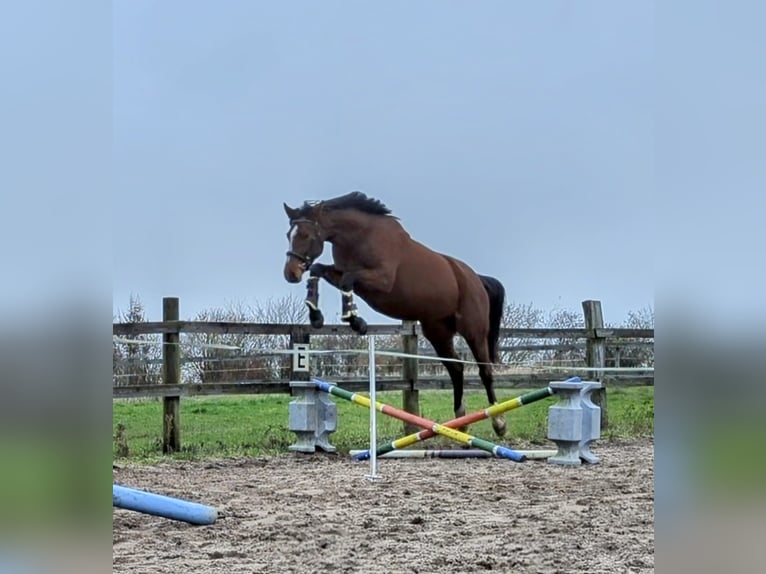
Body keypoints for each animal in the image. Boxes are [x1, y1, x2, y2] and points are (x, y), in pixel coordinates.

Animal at [282, 191, 510, 438]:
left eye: (305, 235)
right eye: (288, 235)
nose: (290, 274)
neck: (359, 236)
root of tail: (476, 278)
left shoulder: (381, 279)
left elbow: (348, 280)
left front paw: (356, 321)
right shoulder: (341, 271)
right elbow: (319, 271)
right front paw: (316, 317)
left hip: (473, 330)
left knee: (484, 371)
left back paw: (499, 422)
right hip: (438, 332)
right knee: (456, 368)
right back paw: (461, 421)